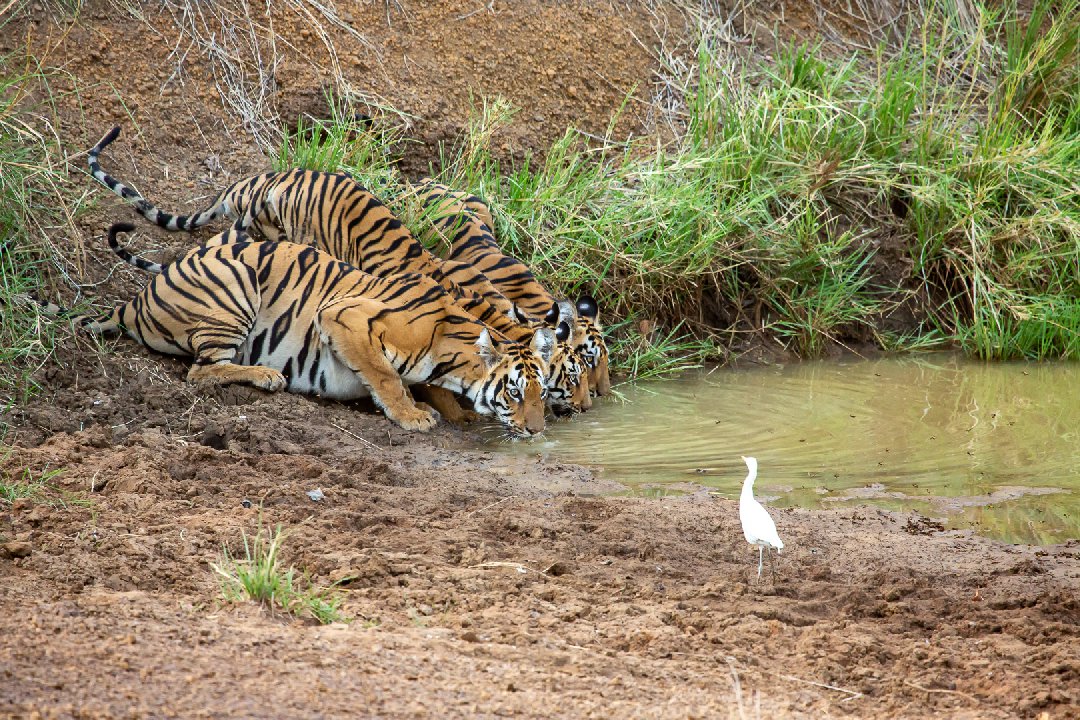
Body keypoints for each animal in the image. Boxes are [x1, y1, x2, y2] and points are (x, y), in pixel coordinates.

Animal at [53, 222, 557, 437]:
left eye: (540, 394)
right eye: (515, 392)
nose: (537, 431)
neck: (449, 356)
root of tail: (133, 301)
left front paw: (456, 412)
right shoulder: (345, 316)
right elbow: (387, 377)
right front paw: (413, 415)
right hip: (235, 283)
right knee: (201, 371)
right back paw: (266, 376)